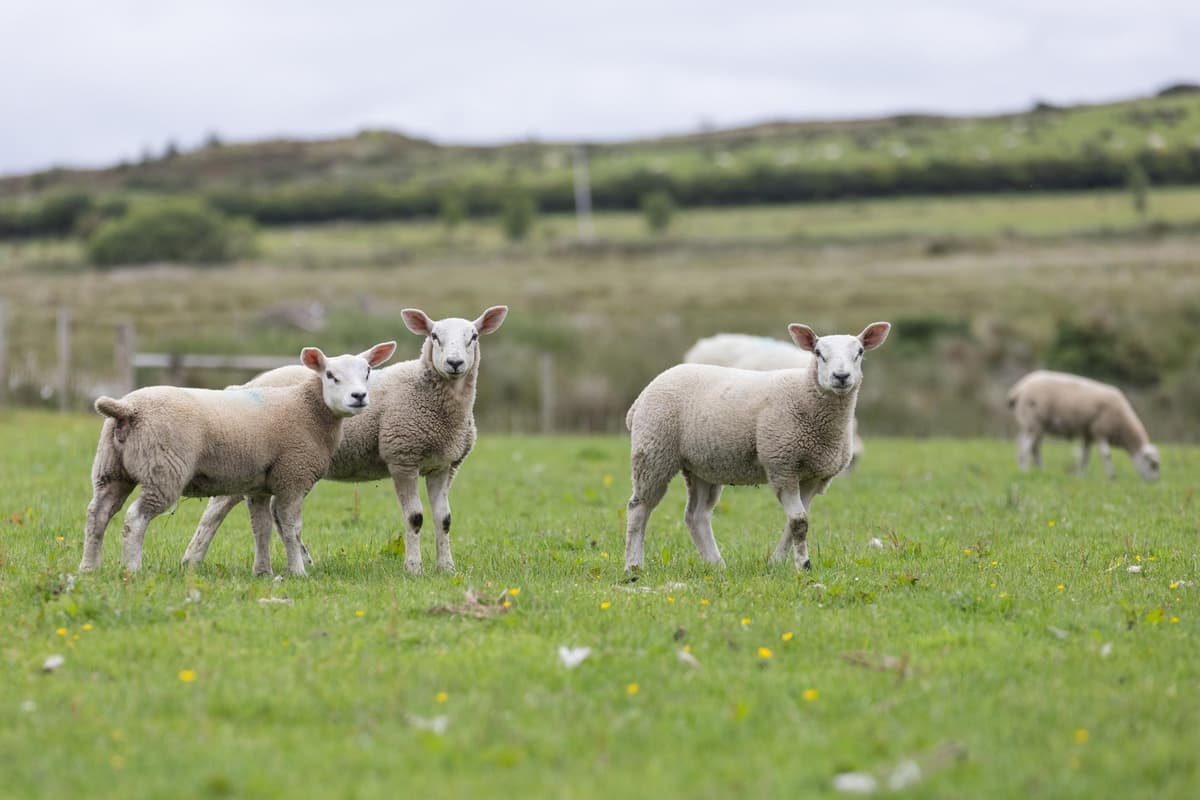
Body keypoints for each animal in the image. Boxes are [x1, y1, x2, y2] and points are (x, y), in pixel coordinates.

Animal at [79, 341, 397, 576]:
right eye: (330, 375)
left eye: (368, 372)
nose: (359, 396)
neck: (306, 408)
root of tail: (127, 409)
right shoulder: (293, 476)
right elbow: (291, 528)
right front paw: (297, 572)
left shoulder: (258, 486)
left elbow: (261, 528)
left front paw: (263, 572)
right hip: (163, 469)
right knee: (135, 518)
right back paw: (132, 568)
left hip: (111, 470)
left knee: (98, 514)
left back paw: (89, 568)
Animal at [181, 306, 509, 575]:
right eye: (435, 336)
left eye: (474, 336)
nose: (454, 363)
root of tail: (242, 386)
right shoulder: (402, 457)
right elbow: (414, 518)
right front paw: (414, 568)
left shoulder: (443, 465)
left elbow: (444, 519)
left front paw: (447, 568)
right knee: (217, 508)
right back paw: (192, 559)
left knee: (273, 510)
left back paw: (303, 560)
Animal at [1006, 370, 1160, 482]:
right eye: (1153, 465)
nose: (1155, 482)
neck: (1123, 427)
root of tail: (1019, 388)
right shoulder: (1100, 430)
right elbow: (1106, 455)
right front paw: (1112, 477)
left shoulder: (1088, 434)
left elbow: (1085, 457)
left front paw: (1080, 477)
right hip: (1033, 421)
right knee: (1026, 447)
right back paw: (1025, 471)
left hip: (1033, 425)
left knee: (1031, 447)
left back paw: (1040, 471)